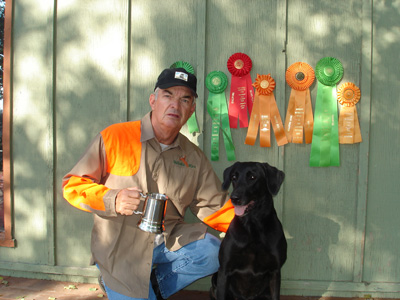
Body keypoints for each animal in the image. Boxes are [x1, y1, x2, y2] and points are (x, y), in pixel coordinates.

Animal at [211, 162, 286, 300]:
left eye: (252, 177)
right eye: (234, 177)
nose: (234, 198)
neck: (253, 226)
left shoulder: (275, 271)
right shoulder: (224, 270)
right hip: (214, 279)